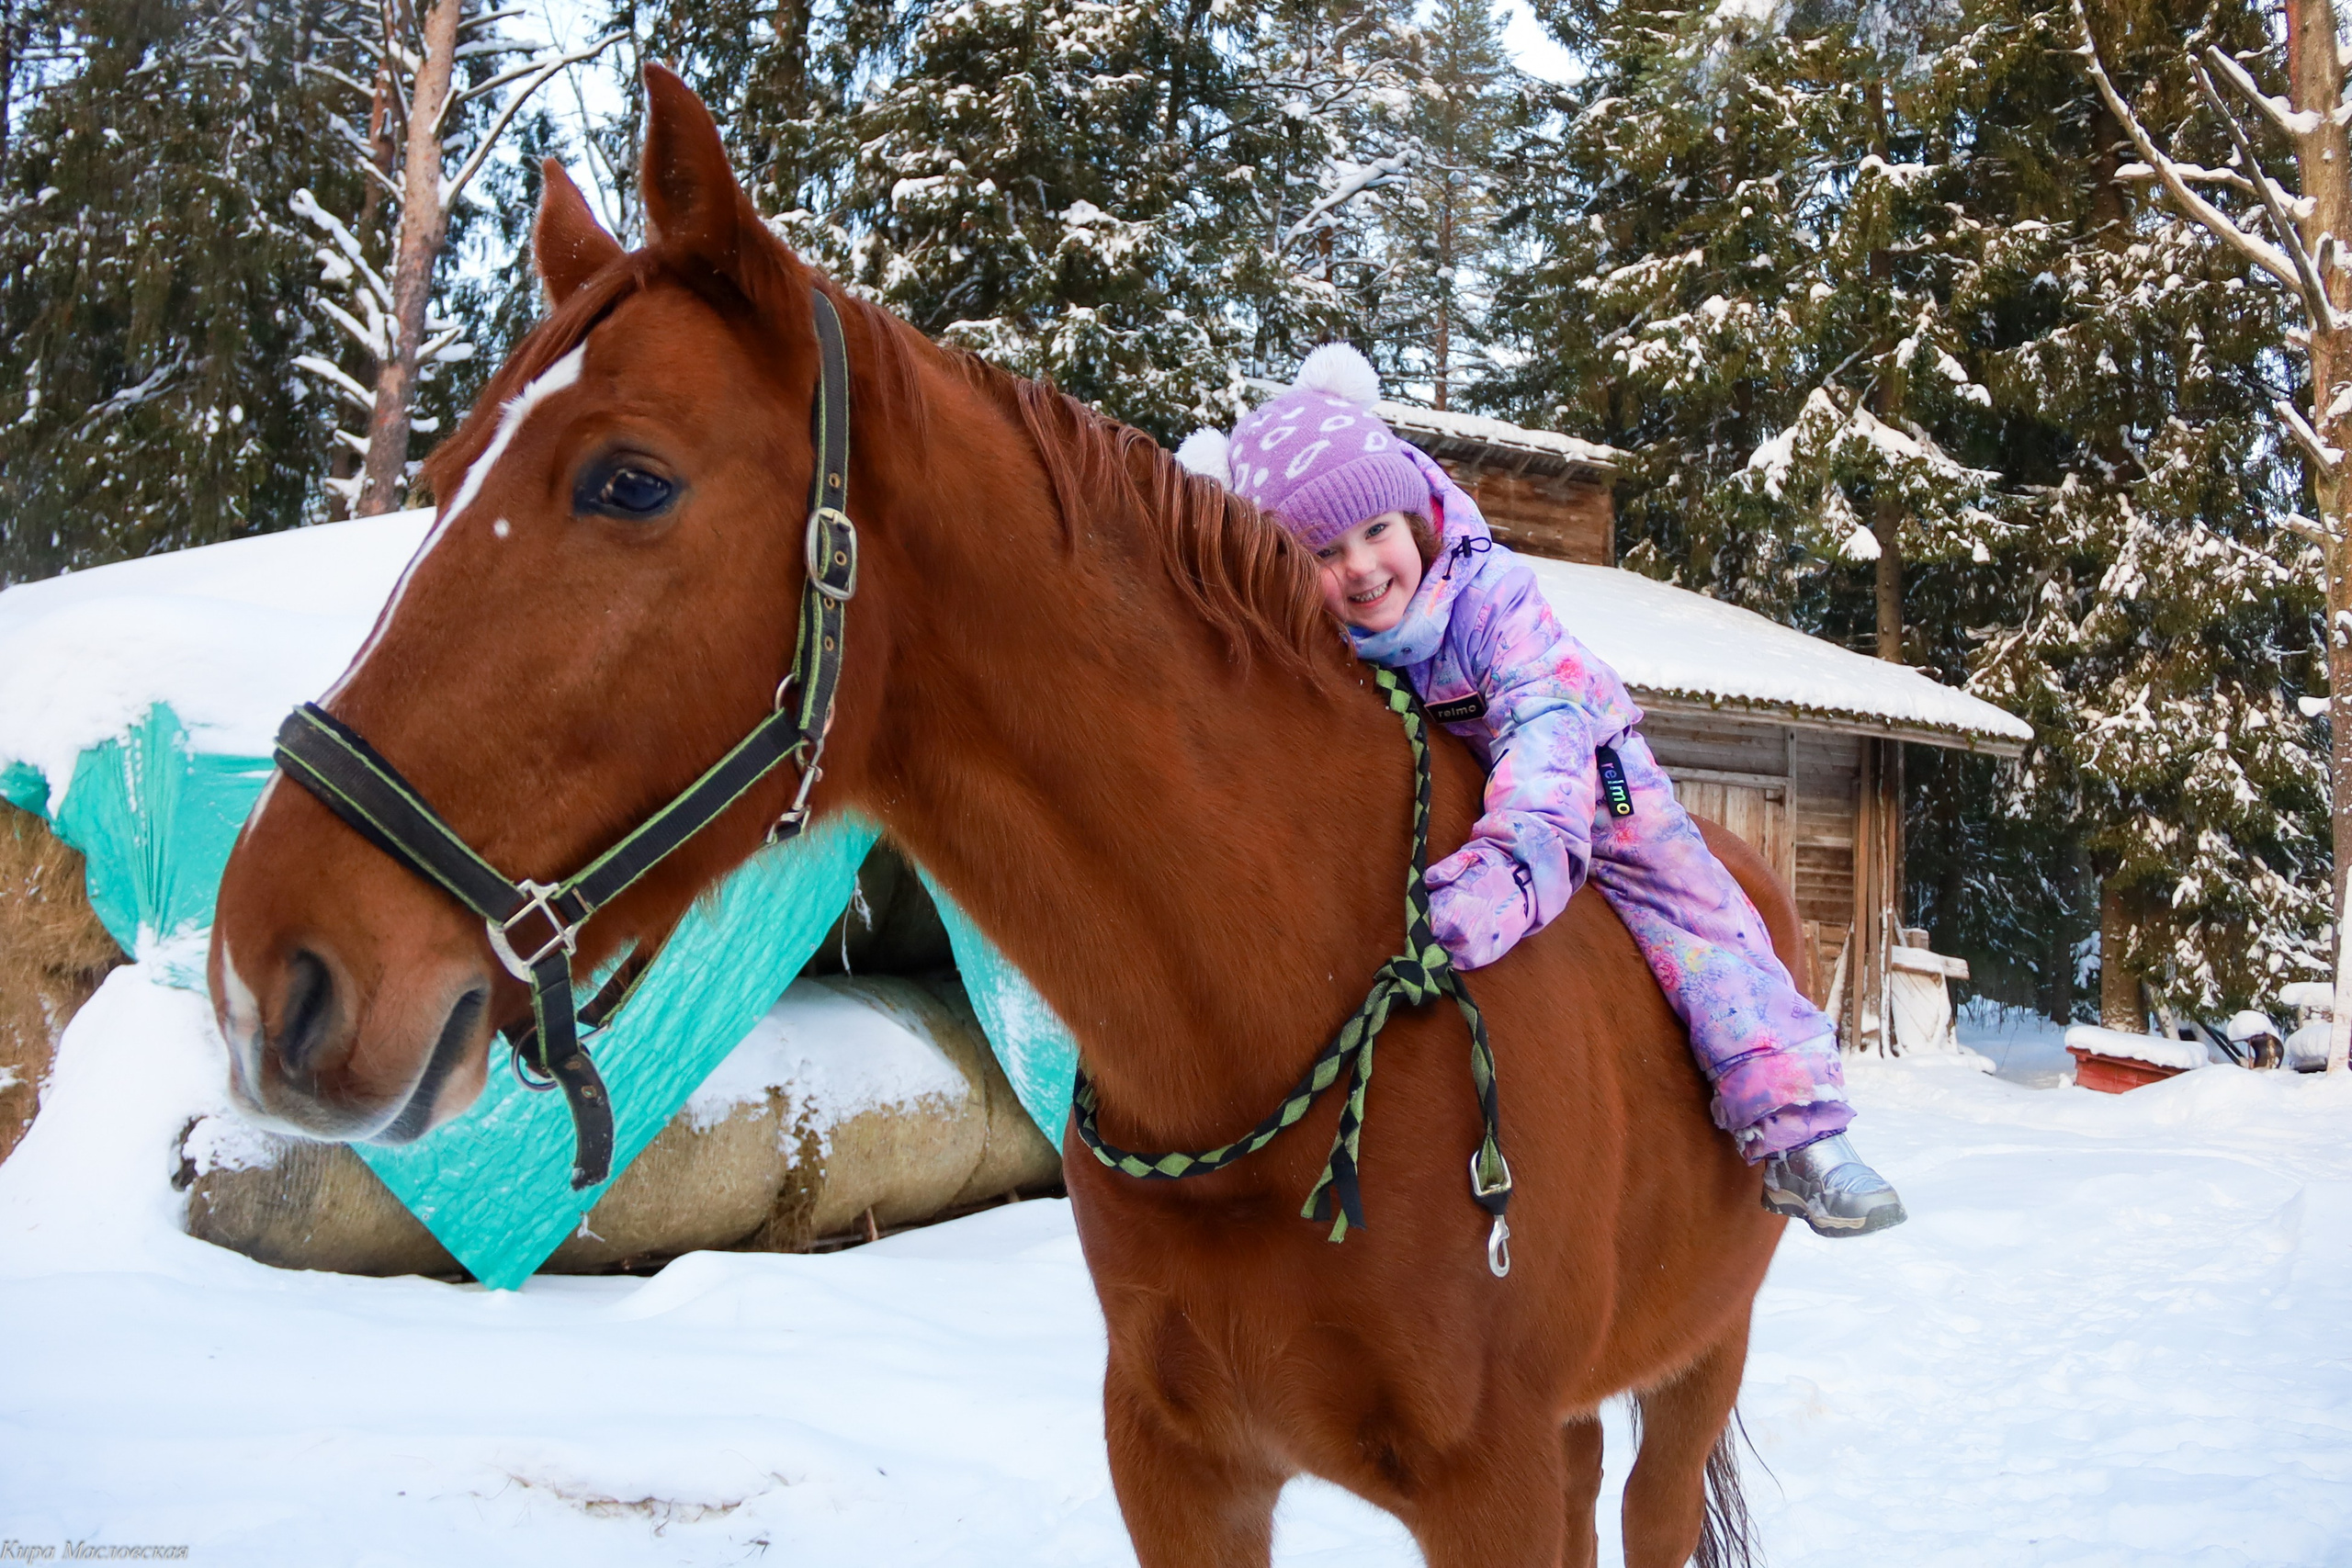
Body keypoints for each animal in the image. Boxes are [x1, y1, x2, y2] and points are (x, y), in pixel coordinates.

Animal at [208, 66, 1790, 1568]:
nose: (264, 971)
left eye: (630, 479)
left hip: (1694, 1371)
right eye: (432, 475)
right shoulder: (1180, 1465)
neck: (1281, 998)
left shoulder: (1498, 1486)